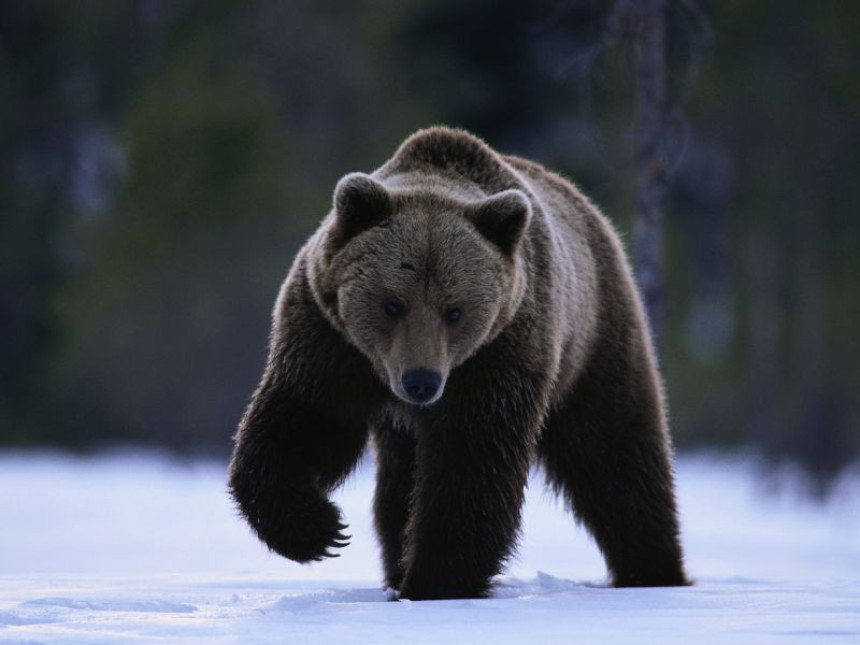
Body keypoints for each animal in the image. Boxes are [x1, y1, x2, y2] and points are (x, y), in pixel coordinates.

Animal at [228, 124, 692, 600]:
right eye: (392, 303)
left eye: (454, 310)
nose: (421, 381)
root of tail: (591, 210)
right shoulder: (329, 338)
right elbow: (305, 419)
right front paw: (318, 530)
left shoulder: (500, 353)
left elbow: (472, 463)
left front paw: (435, 581)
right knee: (398, 487)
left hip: (594, 340)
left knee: (614, 455)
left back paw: (652, 570)